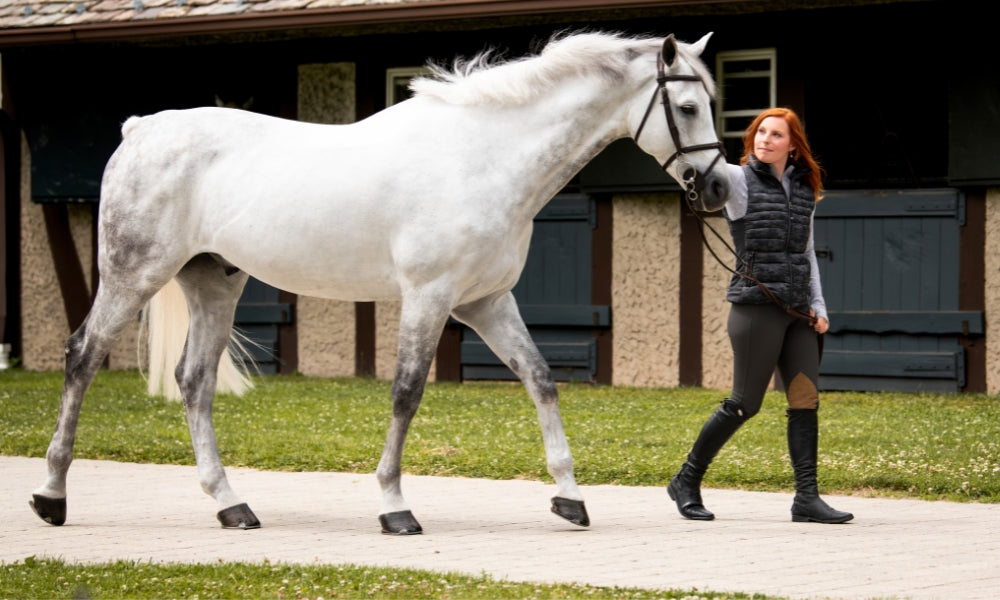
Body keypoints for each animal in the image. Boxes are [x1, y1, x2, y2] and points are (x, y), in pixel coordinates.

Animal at [30, 30, 730, 535]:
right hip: (134, 274)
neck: (483, 157)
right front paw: (396, 507)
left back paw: (232, 505)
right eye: (688, 106)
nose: (720, 187)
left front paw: (570, 498)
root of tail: (140, 129)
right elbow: (406, 392)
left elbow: (540, 380)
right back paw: (51, 495)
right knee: (83, 356)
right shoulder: (429, 297)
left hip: (215, 284)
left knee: (194, 382)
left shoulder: (486, 302)